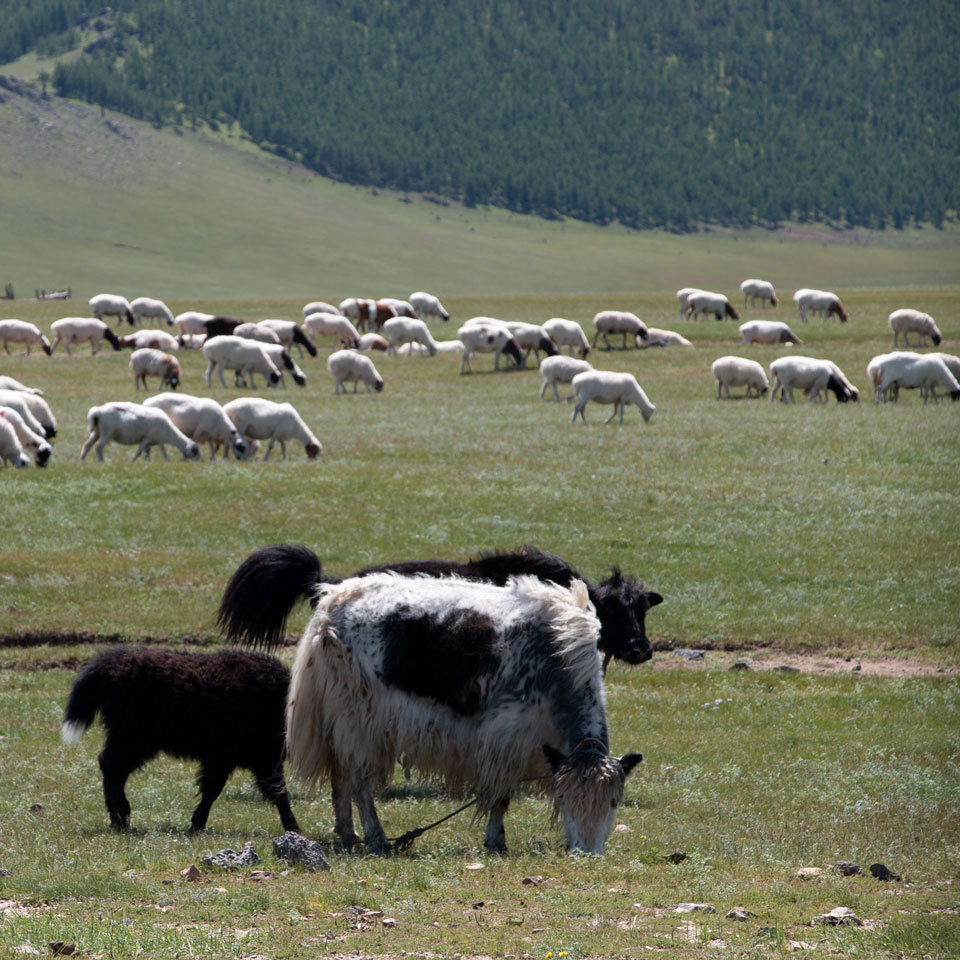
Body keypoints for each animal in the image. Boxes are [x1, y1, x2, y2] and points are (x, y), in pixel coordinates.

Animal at [62, 648, 298, 836]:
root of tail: (107, 664)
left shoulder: (238, 760)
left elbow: (215, 791)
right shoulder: (249, 759)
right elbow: (275, 793)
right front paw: (294, 828)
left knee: (113, 769)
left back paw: (118, 819)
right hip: (131, 740)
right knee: (111, 767)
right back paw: (121, 818)